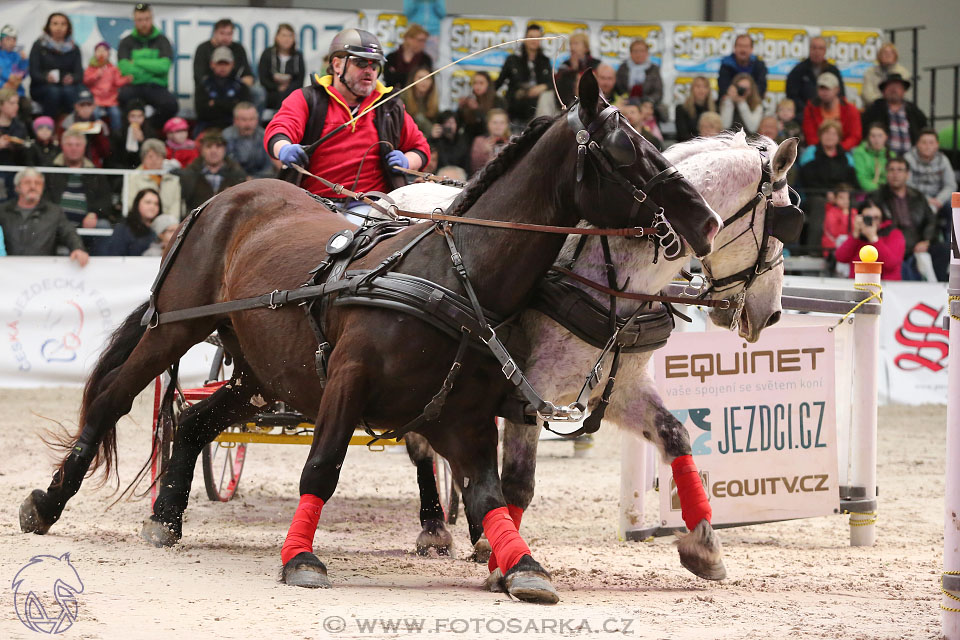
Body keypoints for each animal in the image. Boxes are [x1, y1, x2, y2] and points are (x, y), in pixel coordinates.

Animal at [20, 72, 720, 604]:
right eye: (627, 152)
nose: (706, 219)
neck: (453, 274)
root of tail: (227, 197)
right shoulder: (348, 383)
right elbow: (323, 465)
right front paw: (300, 558)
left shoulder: (463, 415)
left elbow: (488, 493)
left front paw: (519, 565)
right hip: (178, 327)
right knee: (113, 399)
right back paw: (48, 503)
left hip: (262, 372)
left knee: (193, 421)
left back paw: (166, 516)